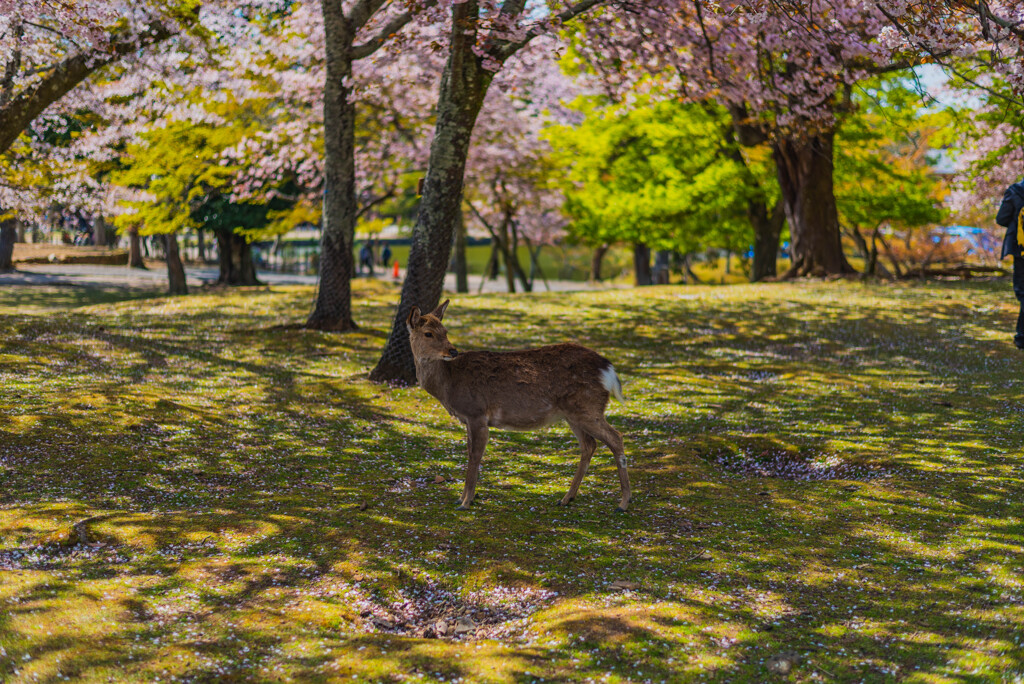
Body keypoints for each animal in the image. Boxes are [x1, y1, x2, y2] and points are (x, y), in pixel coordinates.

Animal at [401, 301, 626, 511]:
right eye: (429, 333)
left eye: (445, 331)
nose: (452, 350)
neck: (447, 386)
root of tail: (609, 369)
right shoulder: (467, 418)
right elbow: (469, 452)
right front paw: (462, 498)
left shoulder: (476, 413)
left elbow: (475, 455)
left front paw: (466, 502)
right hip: (573, 414)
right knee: (589, 445)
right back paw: (566, 498)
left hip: (587, 407)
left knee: (615, 437)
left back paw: (623, 503)